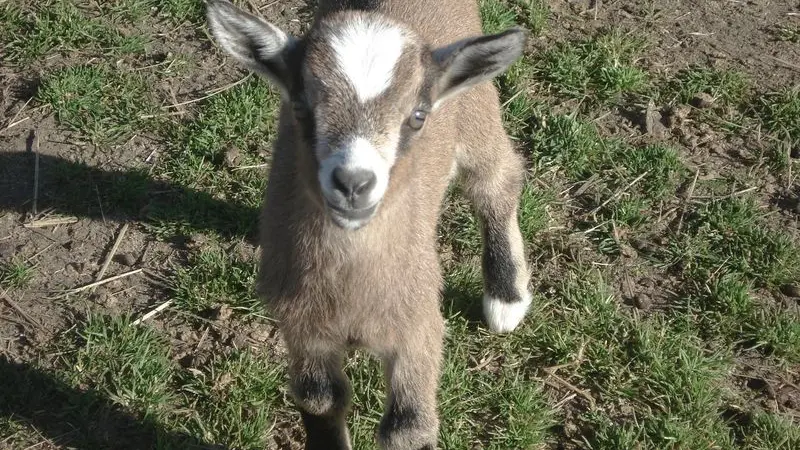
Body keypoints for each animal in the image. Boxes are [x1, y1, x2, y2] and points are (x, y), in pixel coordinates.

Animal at [208, 0, 532, 450]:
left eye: (418, 116)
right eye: (300, 109)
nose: (353, 183)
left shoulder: (418, 323)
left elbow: (408, 427)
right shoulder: (304, 327)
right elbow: (318, 398)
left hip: (477, 108)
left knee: (497, 179)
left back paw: (506, 295)